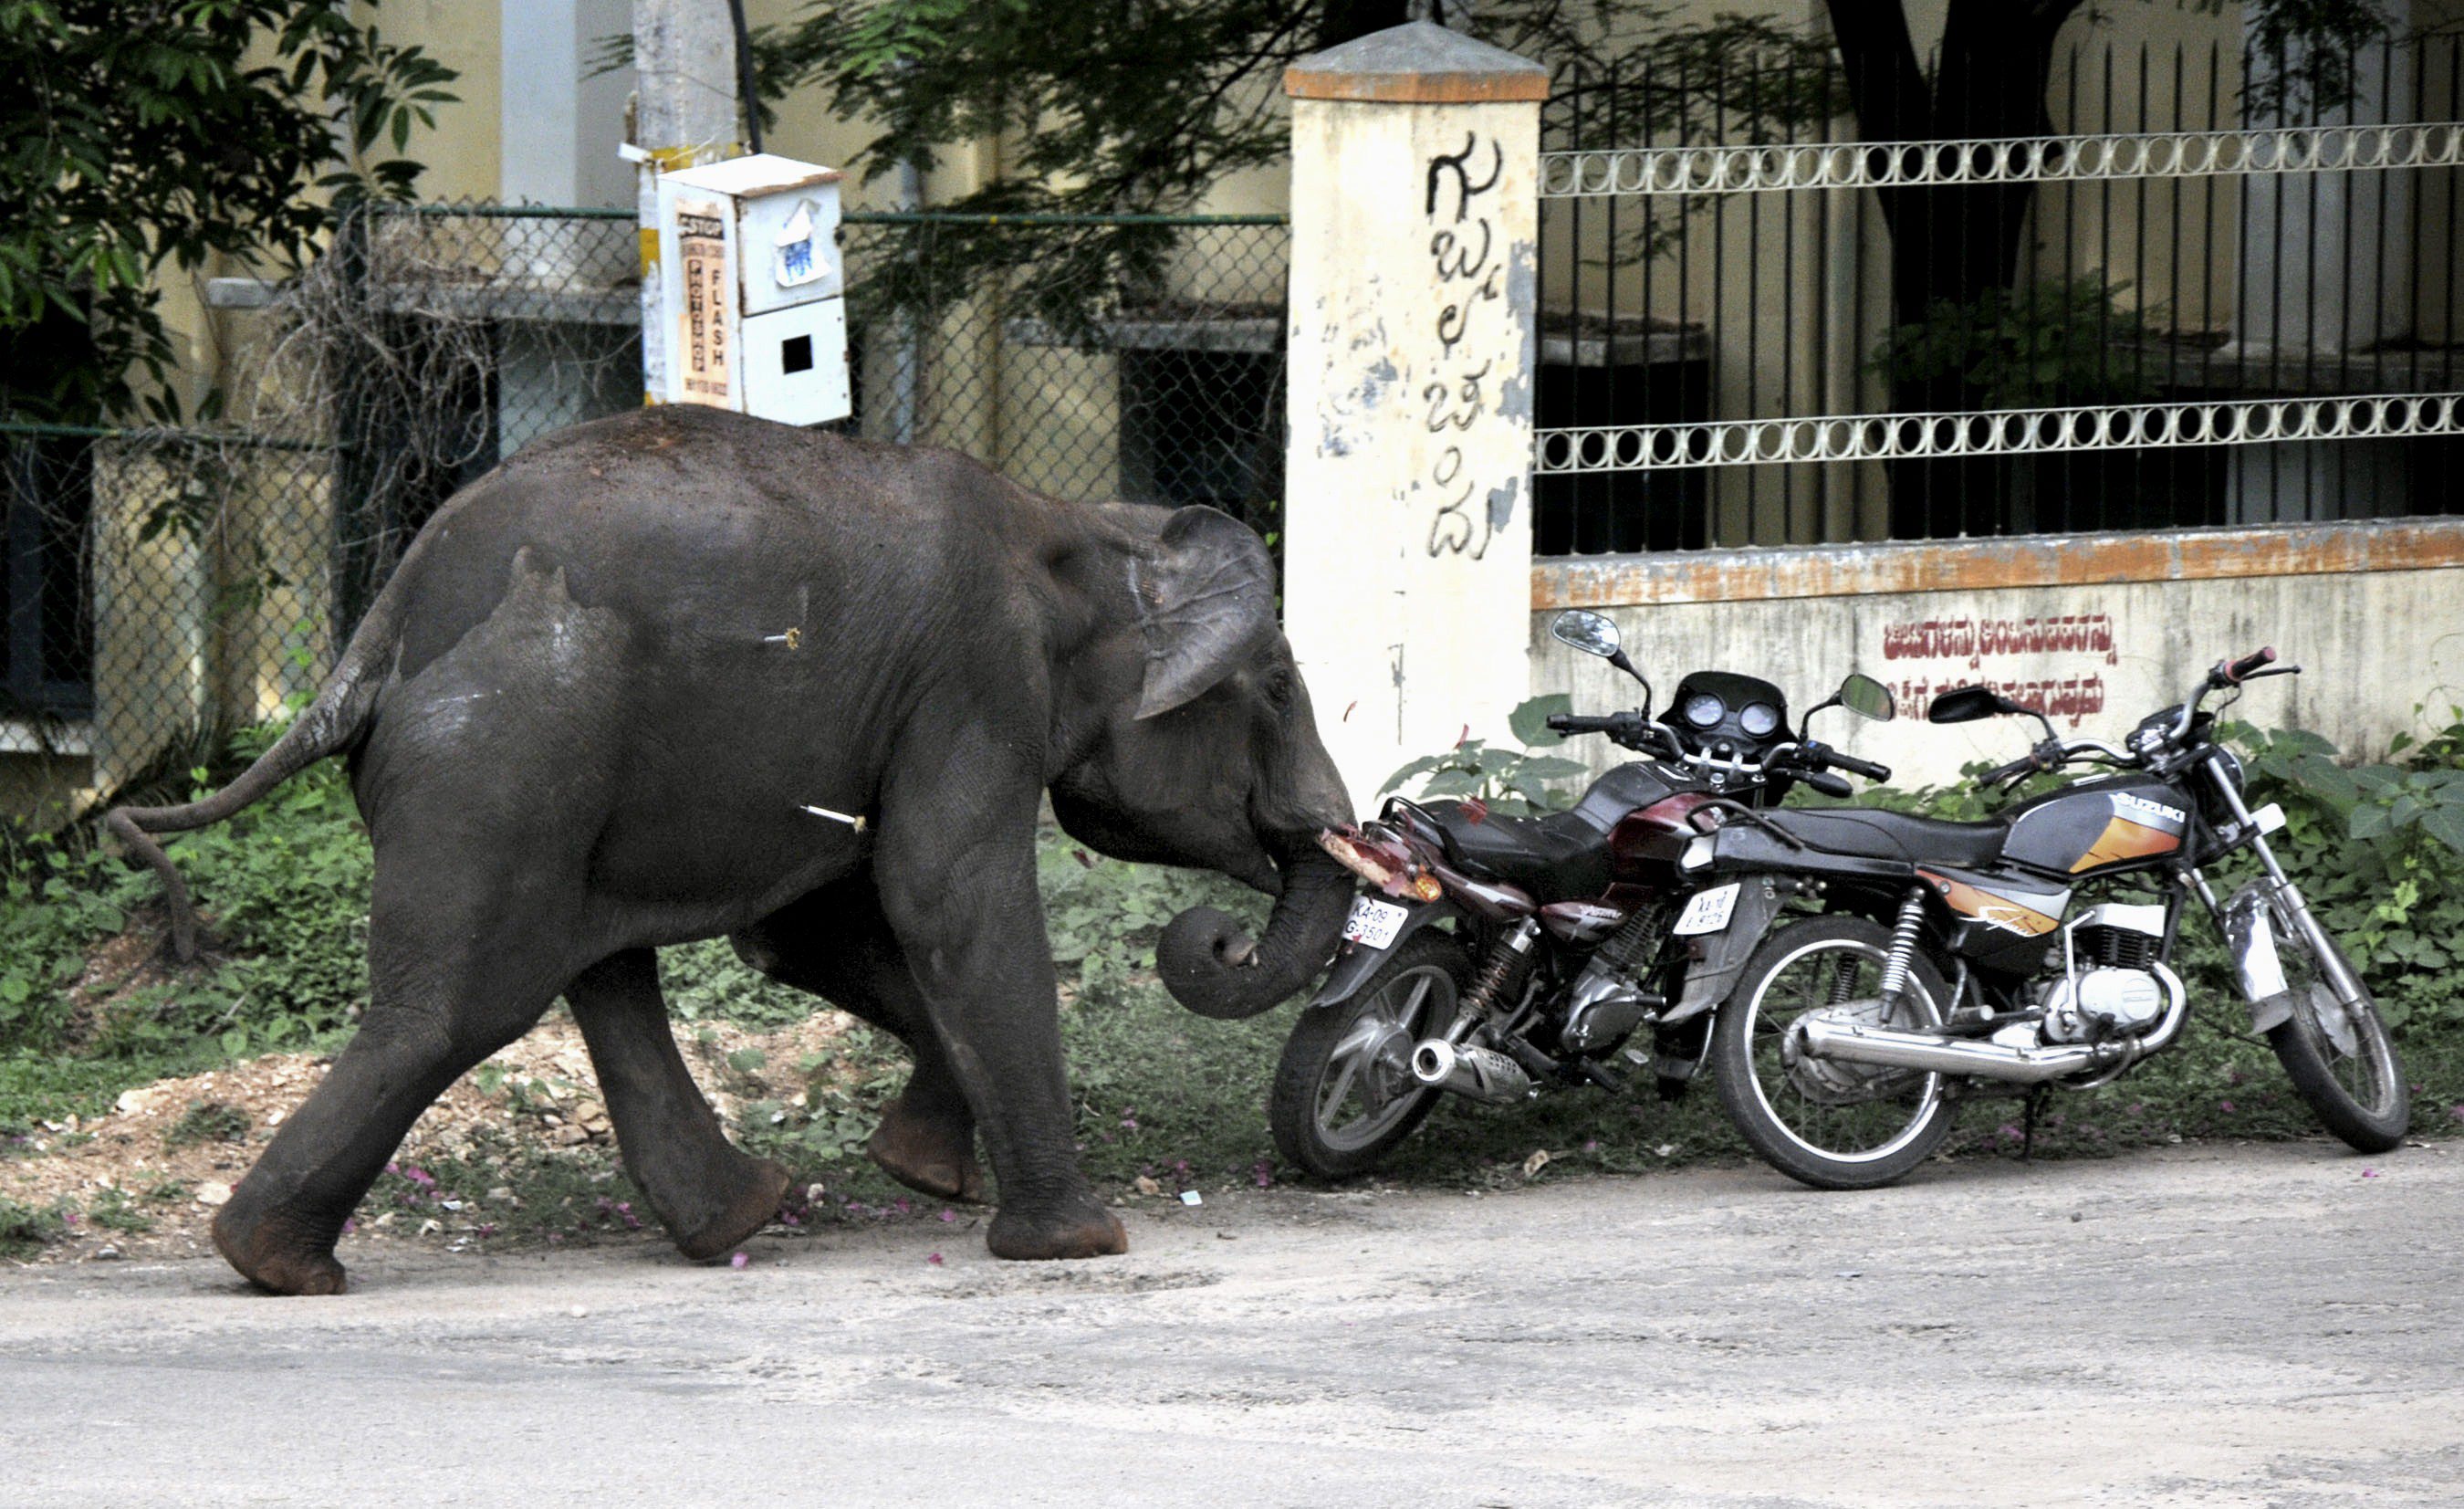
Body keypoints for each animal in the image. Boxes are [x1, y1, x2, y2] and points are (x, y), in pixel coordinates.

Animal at [106, 404, 1356, 1296]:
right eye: (1277, 688)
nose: (1220, 937)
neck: (1081, 526)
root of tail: (379, 629)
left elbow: (810, 934)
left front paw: (922, 1173)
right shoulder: (976, 677)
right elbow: (943, 895)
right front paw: (1081, 1244)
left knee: (590, 966)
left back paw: (735, 1218)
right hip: (507, 745)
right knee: (469, 1001)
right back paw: (277, 1264)